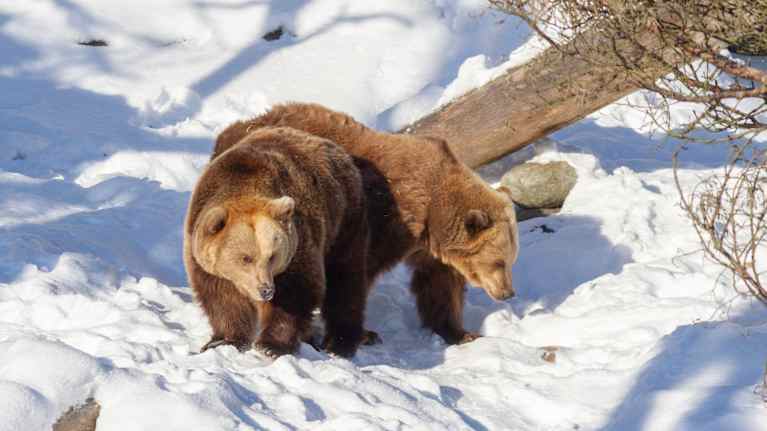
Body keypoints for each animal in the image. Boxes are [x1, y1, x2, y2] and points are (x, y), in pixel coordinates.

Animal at [184, 126, 371, 358]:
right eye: (246, 258)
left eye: (272, 256)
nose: (266, 290)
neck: (242, 183)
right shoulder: (204, 258)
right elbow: (222, 298)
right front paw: (223, 340)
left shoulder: (298, 244)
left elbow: (295, 292)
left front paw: (271, 345)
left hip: (344, 223)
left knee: (346, 280)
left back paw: (339, 342)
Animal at [212, 103, 519, 345]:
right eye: (499, 261)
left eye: (510, 260)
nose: (507, 293)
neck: (432, 213)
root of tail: (229, 132)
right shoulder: (387, 216)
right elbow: (360, 271)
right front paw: (363, 334)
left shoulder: (428, 247)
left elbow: (439, 286)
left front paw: (460, 332)